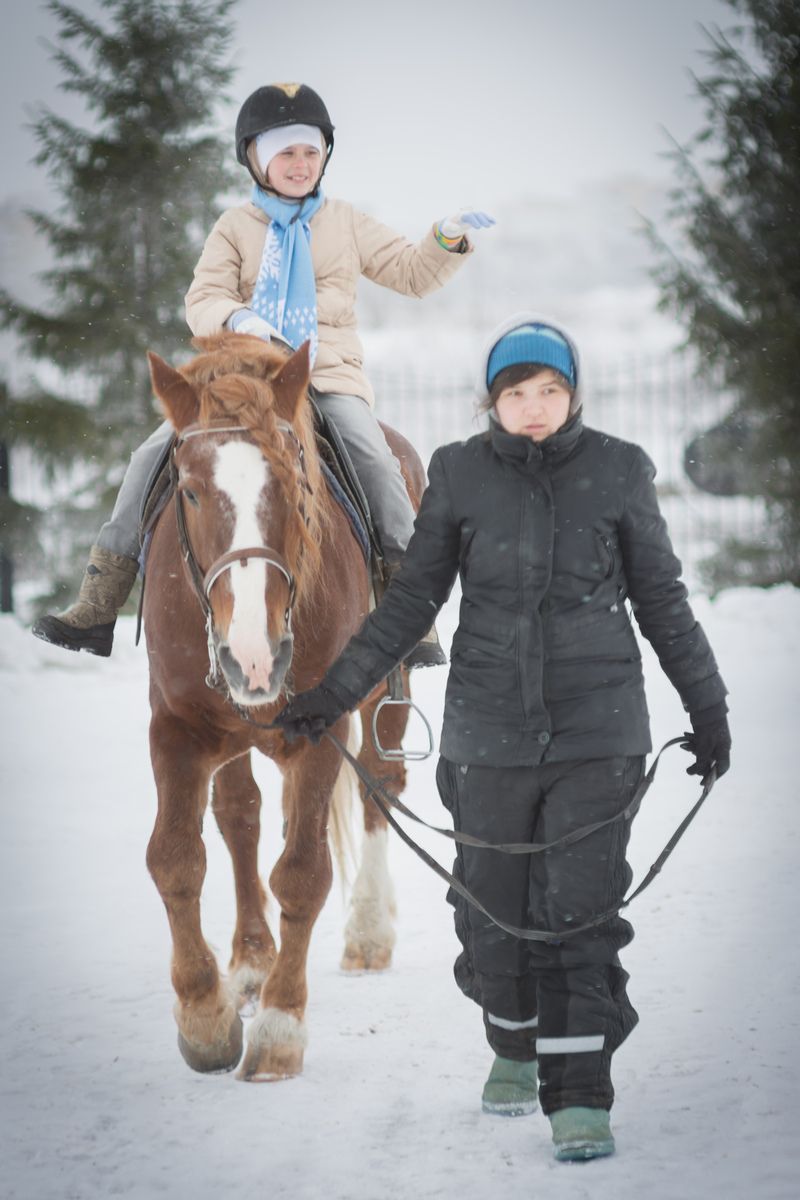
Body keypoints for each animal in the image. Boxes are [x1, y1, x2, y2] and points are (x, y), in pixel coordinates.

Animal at [145, 333, 419, 1084]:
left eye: (295, 485)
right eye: (190, 489)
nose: (251, 654)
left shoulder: (325, 727)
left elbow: (303, 872)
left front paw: (277, 1030)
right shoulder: (175, 726)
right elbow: (176, 858)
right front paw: (206, 1015)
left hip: (388, 696)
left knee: (380, 788)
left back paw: (368, 932)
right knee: (240, 817)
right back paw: (249, 962)